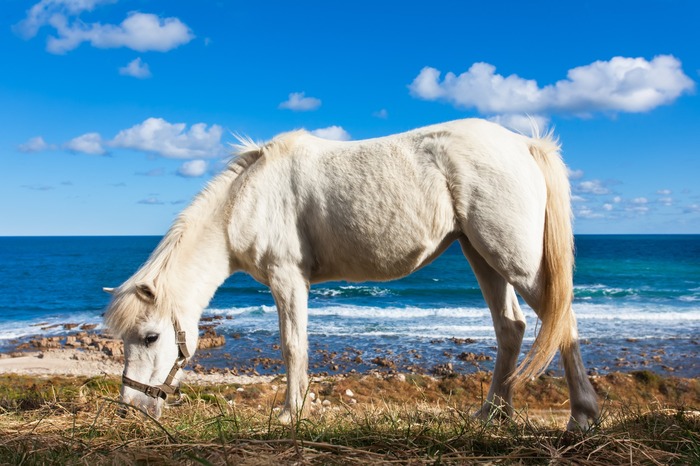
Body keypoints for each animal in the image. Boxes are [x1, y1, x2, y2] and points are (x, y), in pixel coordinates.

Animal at [104, 118, 599, 430]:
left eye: (150, 337)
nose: (130, 409)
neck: (246, 200)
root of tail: (524, 145)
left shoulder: (288, 279)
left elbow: (293, 346)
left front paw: (291, 414)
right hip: (483, 256)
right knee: (510, 327)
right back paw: (493, 414)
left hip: (514, 260)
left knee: (560, 320)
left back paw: (581, 418)